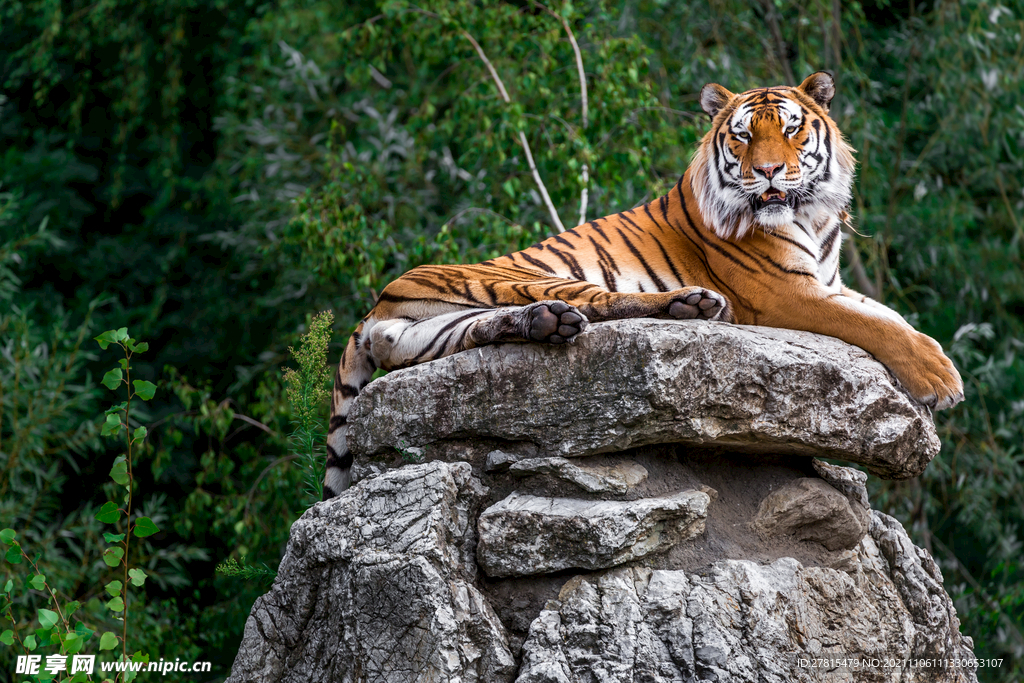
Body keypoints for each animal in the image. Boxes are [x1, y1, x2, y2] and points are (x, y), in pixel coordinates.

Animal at [323, 72, 962, 499]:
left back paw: (547, 323)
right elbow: (874, 324)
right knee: (610, 303)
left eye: (790, 128)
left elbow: (890, 315)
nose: (768, 172)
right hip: (526, 275)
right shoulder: (786, 294)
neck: (812, 214)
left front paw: (935, 360)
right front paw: (941, 379)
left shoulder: (830, 281)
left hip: (435, 331)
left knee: (490, 328)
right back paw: (691, 306)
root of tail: (379, 300)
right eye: (742, 137)